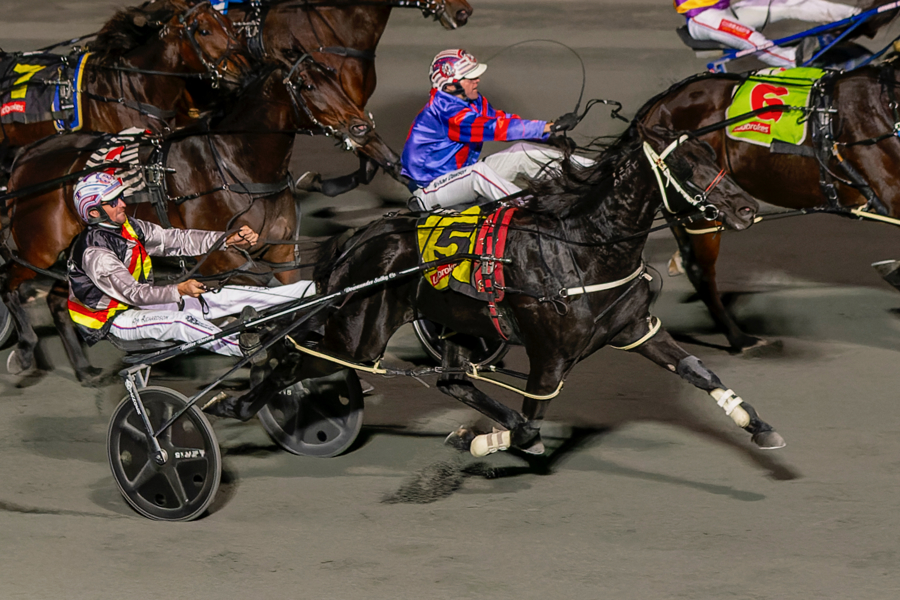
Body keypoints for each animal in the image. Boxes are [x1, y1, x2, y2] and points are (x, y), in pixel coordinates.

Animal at [1, 57, 399, 385]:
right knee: (11, 280)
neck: (237, 165)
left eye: (333, 76)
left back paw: (84, 369)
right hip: (39, 246)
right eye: (306, 85)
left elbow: (293, 288)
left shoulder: (282, 252)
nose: (361, 128)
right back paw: (23, 349)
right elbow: (257, 282)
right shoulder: (224, 261)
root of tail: (27, 155)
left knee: (59, 297)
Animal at [221, 122, 785, 458]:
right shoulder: (549, 356)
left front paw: (758, 425)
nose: (746, 208)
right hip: (358, 333)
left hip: (451, 323)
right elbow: (531, 425)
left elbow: (700, 372)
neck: (582, 249)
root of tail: (361, 238)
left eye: (713, 152)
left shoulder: (635, 329)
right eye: (688, 165)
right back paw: (243, 399)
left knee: (451, 380)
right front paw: (483, 439)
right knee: (297, 359)